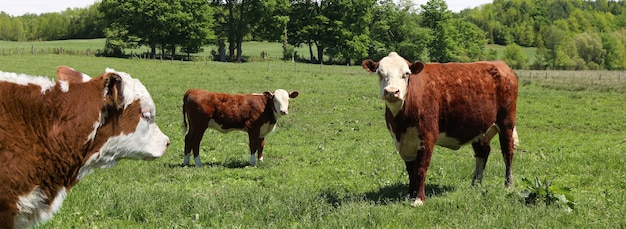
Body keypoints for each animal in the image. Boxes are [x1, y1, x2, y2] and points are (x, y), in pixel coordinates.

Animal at [360, 52, 516, 206]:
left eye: (406, 73)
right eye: (380, 73)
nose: (392, 92)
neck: (401, 122)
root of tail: (500, 64)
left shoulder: (427, 137)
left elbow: (420, 169)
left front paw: (419, 199)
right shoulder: (403, 142)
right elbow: (410, 170)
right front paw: (410, 194)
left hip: (506, 122)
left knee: (507, 153)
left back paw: (508, 185)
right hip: (479, 129)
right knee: (482, 153)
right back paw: (475, 184)